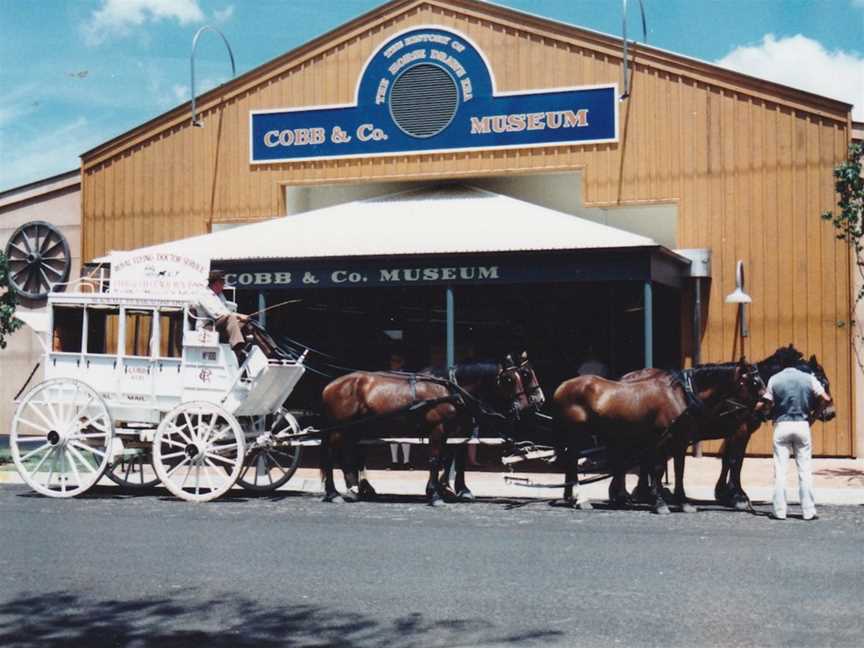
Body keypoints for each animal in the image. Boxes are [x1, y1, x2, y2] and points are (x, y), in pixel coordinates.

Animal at [322, 356, 540, 504]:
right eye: (509, 379)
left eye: (522, 376)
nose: (525, 405)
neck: (450, 390)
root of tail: (330, 386)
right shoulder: (439, 429)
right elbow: (436, 459)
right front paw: (435, 494)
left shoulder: (454, 431)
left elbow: (450, 458)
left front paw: (448, 489)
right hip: (342, 428)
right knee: (332, 454)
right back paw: (334, 493)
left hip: (355, 428)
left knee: (349, 454)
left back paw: (353, 489)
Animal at [552, 356, 764, 512]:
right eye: (754, 382)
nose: (765, 404)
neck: (681, 395)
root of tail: (562, 386)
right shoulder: (663, 440)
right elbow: (658, 469)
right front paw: (659, 501)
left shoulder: (680, 439)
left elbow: (679, 469)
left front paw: (683, 501)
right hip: (577, 433)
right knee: (573, 461)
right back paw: (581, 499)